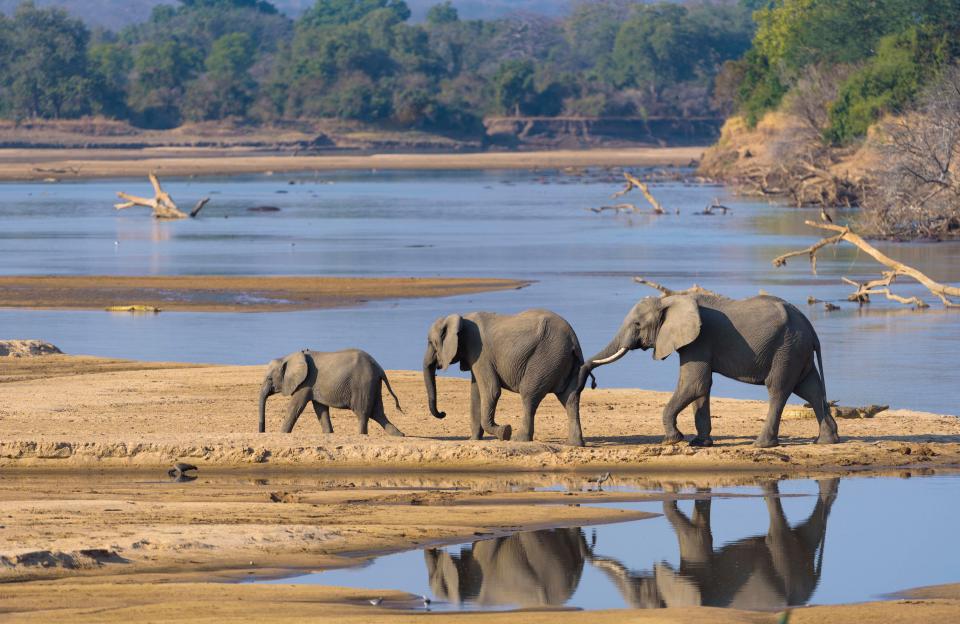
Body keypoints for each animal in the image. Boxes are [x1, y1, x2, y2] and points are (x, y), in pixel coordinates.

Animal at [258, 349, 404, 436]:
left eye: (270, 379)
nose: (262, 432)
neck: (287, 357)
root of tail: (380, 368)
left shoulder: (306, 382)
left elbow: (295, 407)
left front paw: (282, 433)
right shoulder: (313, 385)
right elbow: (320, 409)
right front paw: (329, 434)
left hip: (363, 384)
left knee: (363, 413)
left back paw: (362, 435)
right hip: (373, 384)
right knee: (378, 413)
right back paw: (400, 435)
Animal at [423, 309, 594, 446]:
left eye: (431, 342)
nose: (443, 413)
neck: (461, 319)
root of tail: (573, 339)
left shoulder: (480, 352)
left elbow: (491, 391)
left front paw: (504, 432)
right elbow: (476, 394)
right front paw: (473, 440)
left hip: (546, 357)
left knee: (529, 395)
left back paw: (519, 439)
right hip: (565, 360)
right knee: (570, 398)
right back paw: (575, 444)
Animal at [579, 292, 839, 448]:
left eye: (637, 324)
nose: (591, 381)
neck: (670, 300)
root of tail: (811, 329)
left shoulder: (699, 340)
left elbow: (694, 384)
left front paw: (673, 440)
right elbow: (700, 389)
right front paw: (700, 443)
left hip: (786, 348)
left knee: (778, 389)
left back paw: (761, 444)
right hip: (797, 349)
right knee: (810, 388)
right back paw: (827, 440)